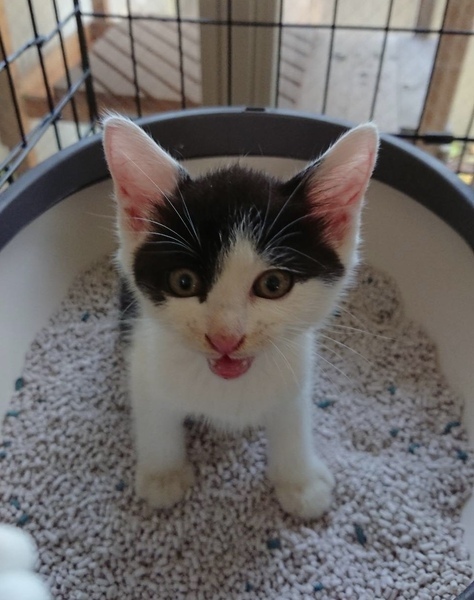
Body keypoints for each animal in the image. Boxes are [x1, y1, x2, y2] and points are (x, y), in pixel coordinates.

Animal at [102, 115, 378, 519]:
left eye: (273, 284)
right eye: (183, 281)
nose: (225, 337)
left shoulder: (296, 371)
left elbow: (293, 420)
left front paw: (300, 482)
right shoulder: (144, 360)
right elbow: (155, 417)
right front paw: (163, 476)